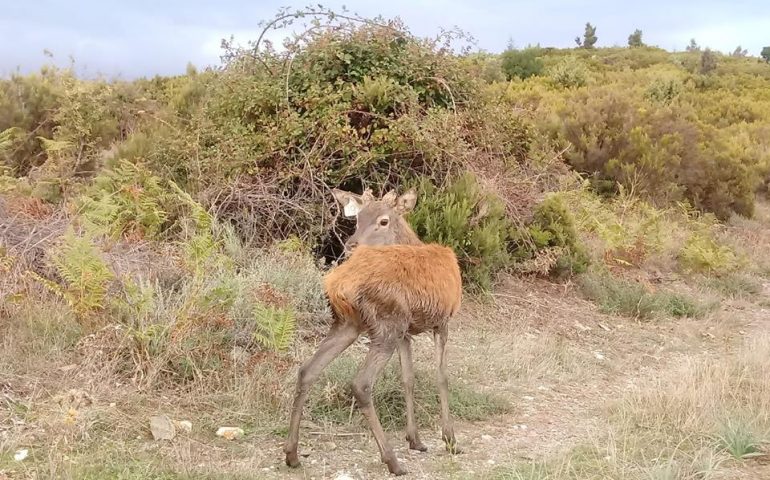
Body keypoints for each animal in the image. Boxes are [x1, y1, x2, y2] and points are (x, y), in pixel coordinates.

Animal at [284, 186, 460, 474]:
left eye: (383, 221)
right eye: (357, 219)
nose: (351, 244)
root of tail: (340, 284)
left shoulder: (406, 332)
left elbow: (408, 379)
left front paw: (415, 440)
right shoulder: (443, 320)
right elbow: (441, 377)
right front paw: (450, 439)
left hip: (348, 324)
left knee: (307, 370)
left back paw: (292, 454)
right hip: (385, 323)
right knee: (361, 383)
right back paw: (392, 461)